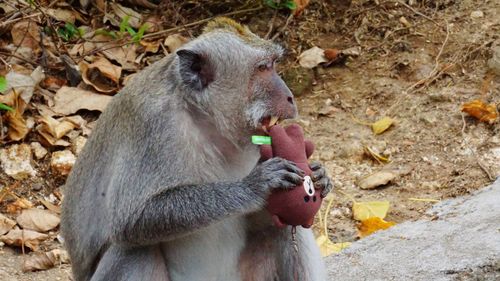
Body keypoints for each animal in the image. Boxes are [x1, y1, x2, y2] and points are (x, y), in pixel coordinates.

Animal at [61, 17, 332, 280]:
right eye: (263, 68)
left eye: (274, 64)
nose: (290, 97)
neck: (203, 116)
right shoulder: (153, 125)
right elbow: (131, 219)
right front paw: (256, 186)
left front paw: (319, 173)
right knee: (134, 250)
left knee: (283, 227)